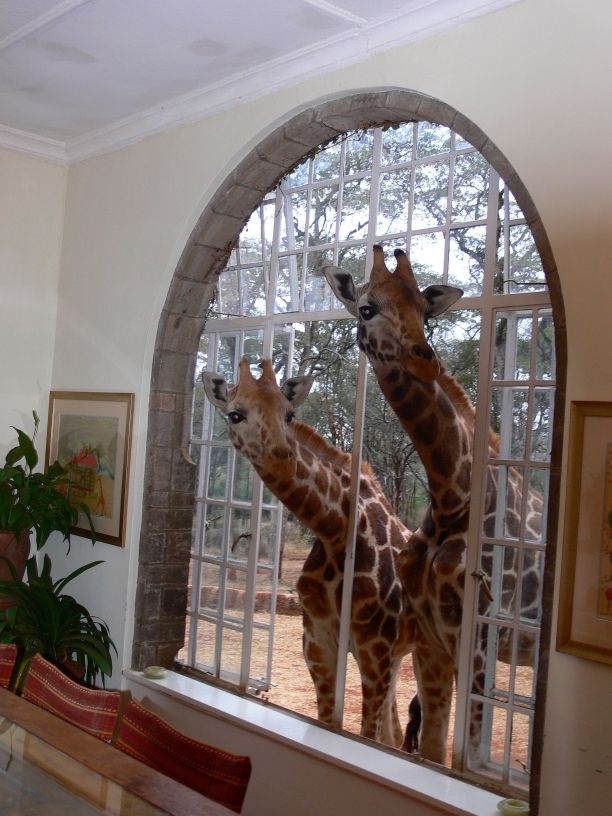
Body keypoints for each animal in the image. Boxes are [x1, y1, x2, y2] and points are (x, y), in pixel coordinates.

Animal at [202, 358, 417, 748]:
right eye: (235, 415)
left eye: (289, 415)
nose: (282, 459)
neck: (335, 533)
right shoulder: (319, 647)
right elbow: (331, 722)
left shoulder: (375, 650)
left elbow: (367, 734)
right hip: (398, 656)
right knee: (394, 732)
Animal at [324, 246, 543, 765]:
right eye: (367, 309)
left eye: (426, 312)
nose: (424, 360)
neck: (451, 495)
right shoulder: (431, 640)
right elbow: (430, 746)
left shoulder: (478, 638)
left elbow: (464, 752)